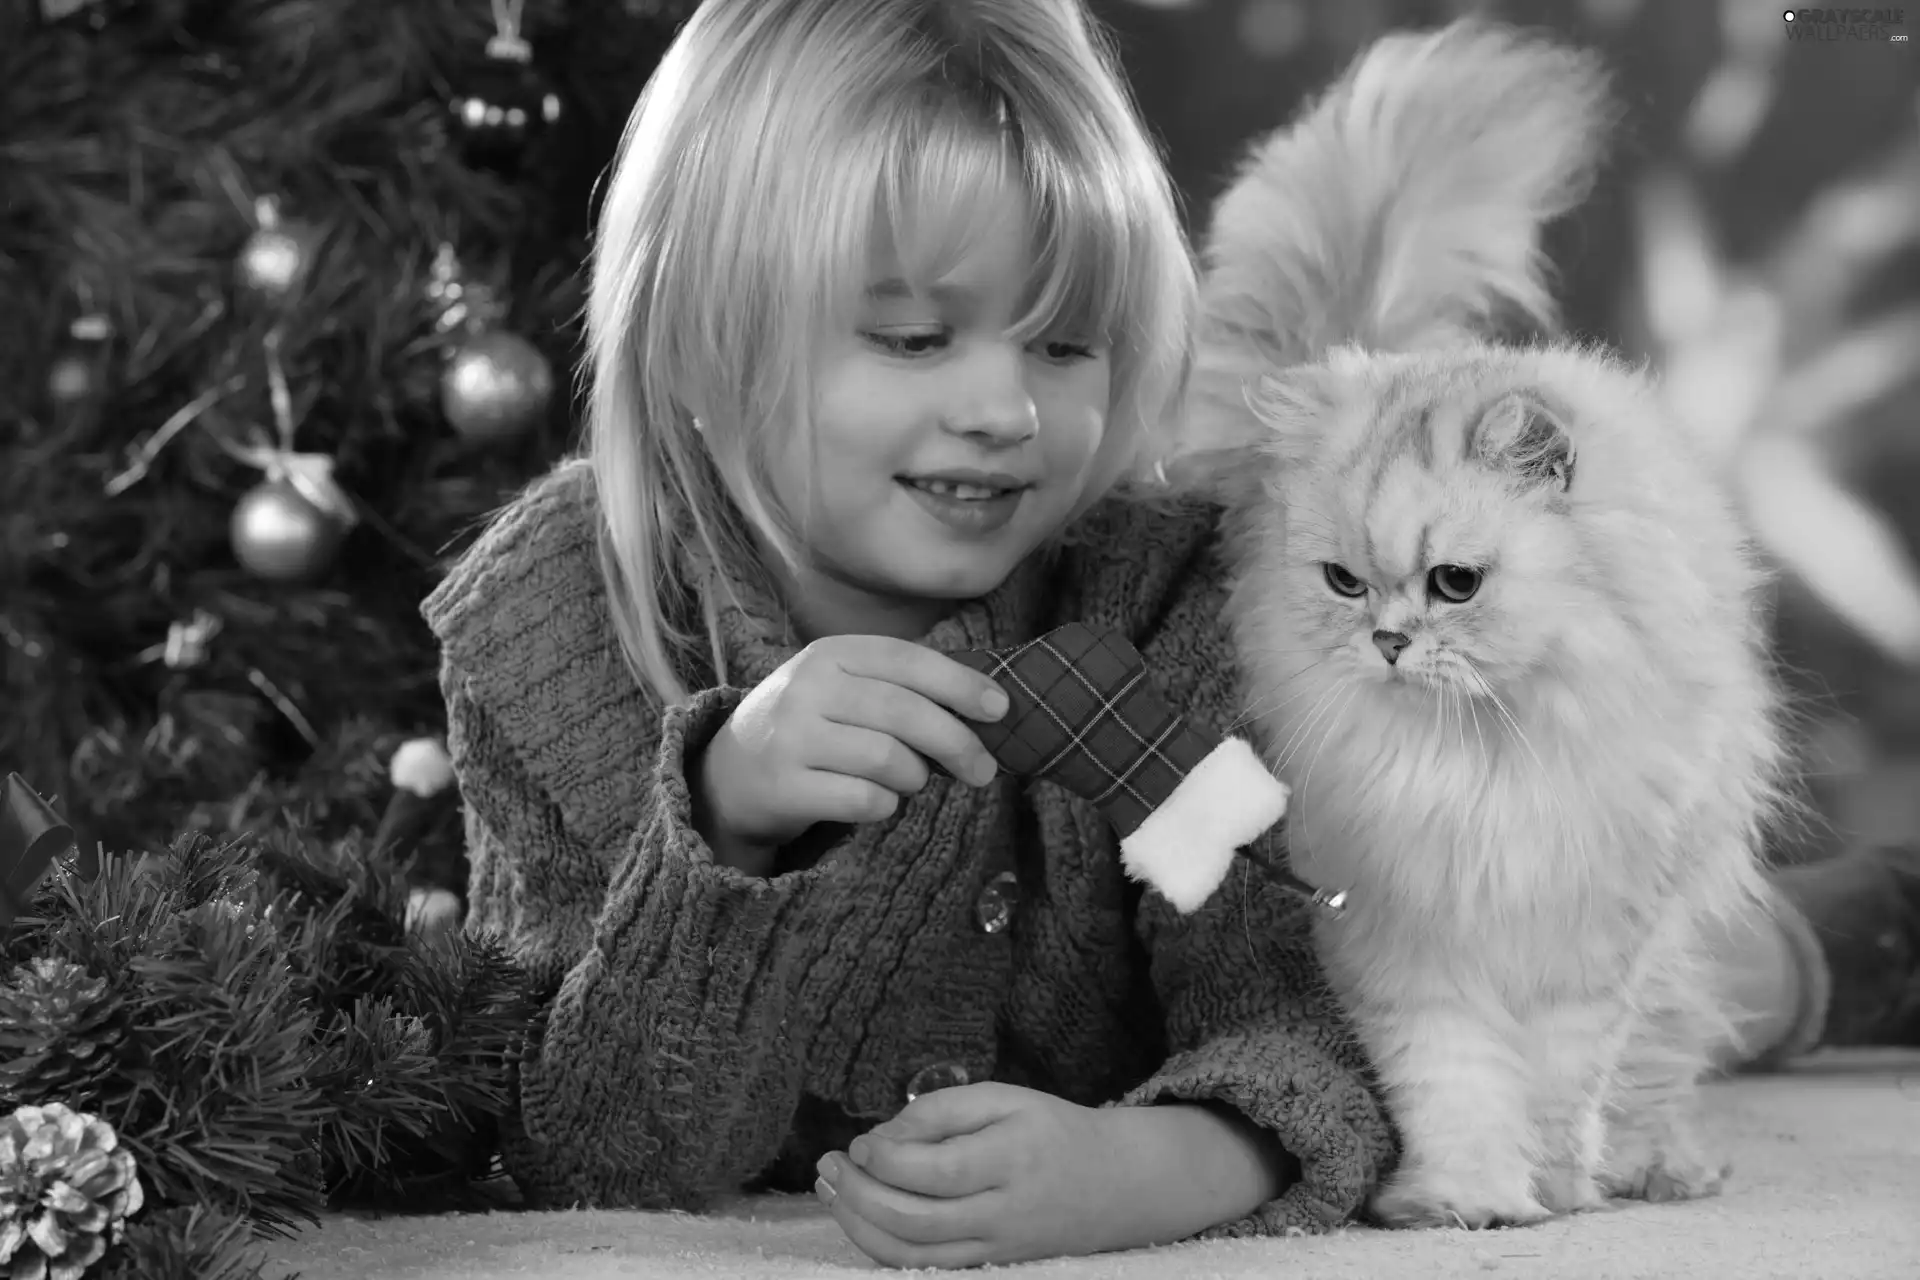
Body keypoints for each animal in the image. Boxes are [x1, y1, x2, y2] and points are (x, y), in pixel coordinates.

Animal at [1152, 17, 1797, 1220]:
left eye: (1456, 583)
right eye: (1343, 582)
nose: (1389, 642)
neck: (1479, 761)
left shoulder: (1586, 951)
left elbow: (1559, 1087)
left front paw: (1557, 1190)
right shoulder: (1401, 945)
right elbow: (1452, 1084)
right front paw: (1467, 1202)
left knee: (1656, 1071)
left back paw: (1655, 1170)